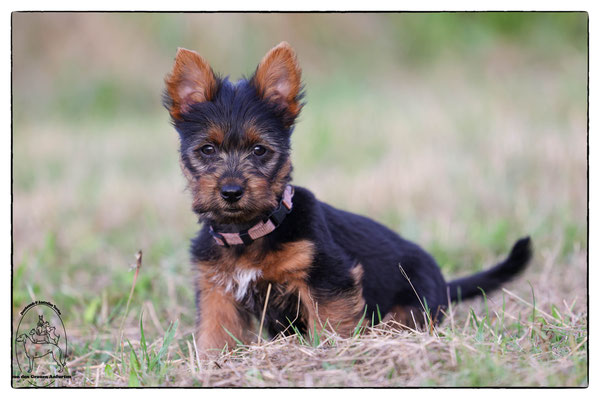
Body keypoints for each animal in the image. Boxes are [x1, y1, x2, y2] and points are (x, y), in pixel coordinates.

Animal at [162, 40, 532, 354]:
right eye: (207, 150)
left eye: (259, 150)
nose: (231, 191)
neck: (249, 232)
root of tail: (443, 281)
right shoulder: (217, 291)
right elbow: (216, 333)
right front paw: (210, 364)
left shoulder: (328, 277)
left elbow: (331, 322)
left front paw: (334, 354)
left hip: (415, 301)